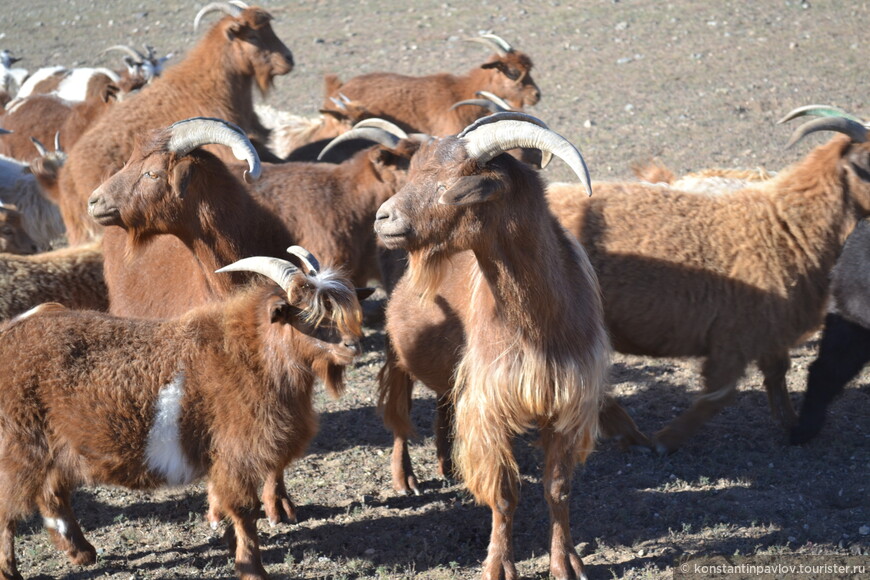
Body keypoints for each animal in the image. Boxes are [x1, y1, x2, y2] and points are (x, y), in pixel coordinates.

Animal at [0, 248, 364, 580]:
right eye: (305, 315)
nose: (353, 345)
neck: (250, 356)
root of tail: (11, 333)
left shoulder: (222, 456)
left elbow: (225, 504)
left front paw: (231, 547)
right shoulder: (236, 453)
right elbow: (244, 511)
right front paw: (252, 569)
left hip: (54, 448)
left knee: (52, 493)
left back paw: (81, 553)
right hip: (20, 447)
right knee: (10, 506)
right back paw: (13, 572)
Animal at [376, 112, 612, 580]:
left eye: (451, 183)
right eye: (413, 173)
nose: (383, 218)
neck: (539, 323)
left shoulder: (567, 402)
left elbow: (558, 489)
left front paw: (567, 562)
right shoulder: (492, 402)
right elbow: (503, 493)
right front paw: (499, 566)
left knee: (444, 400)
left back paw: (447, 463)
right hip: (398, 353)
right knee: (400, 413)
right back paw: (404, 479)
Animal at [544, 106, 870, 456]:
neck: (784, 226)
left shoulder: (767, 330)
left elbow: (777, 375)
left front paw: (793, 425)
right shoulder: (734, 334)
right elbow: (719, 396)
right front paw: (666, 440)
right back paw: (627, 432)